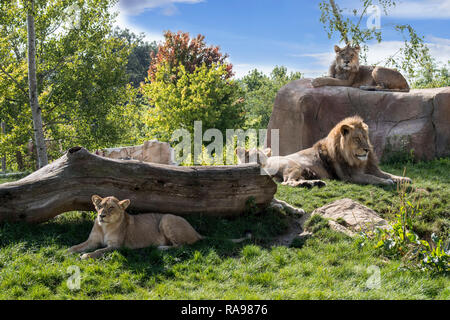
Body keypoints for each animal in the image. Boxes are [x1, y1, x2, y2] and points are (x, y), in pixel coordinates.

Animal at [67, 194, 250, 258]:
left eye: (111, 207)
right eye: (99, 206)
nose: (101, 215)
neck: (104, 226)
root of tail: (195, 231)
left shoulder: (116, 247)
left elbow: (98, 251)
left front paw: (85, 256)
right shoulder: (92, 241)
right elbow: (77, 246)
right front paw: (67, 251)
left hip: (167, 219)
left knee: (182, 246)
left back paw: (160, 248)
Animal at [239, 115, 412, 188]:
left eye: (365, 137)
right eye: (357, 139)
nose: (367, 150)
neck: (357, 160)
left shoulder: (371, 168)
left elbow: (387, 174)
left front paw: (404, 179)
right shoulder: (350, 176)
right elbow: (373, 178)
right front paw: (387, 182)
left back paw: (314, 182)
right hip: (294, 166)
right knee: (287, 183)